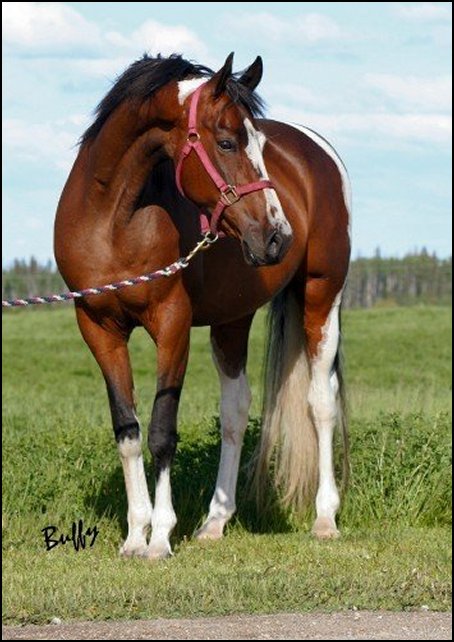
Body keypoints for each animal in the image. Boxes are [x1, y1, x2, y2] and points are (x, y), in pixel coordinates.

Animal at [54, 53, 351, 559]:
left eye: (260, 144)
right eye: (228, 142)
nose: (279, 236)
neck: (112, 219)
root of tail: (319, 151)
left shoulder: (172, 323)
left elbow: (161, 431)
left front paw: (159, 537)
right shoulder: (98, 328)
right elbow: (128, 430)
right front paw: (134, 536)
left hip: (320, 297)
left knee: (320, 401)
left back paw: (325, 518)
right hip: (233, 319)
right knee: (236, 410)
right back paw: (215, 521)